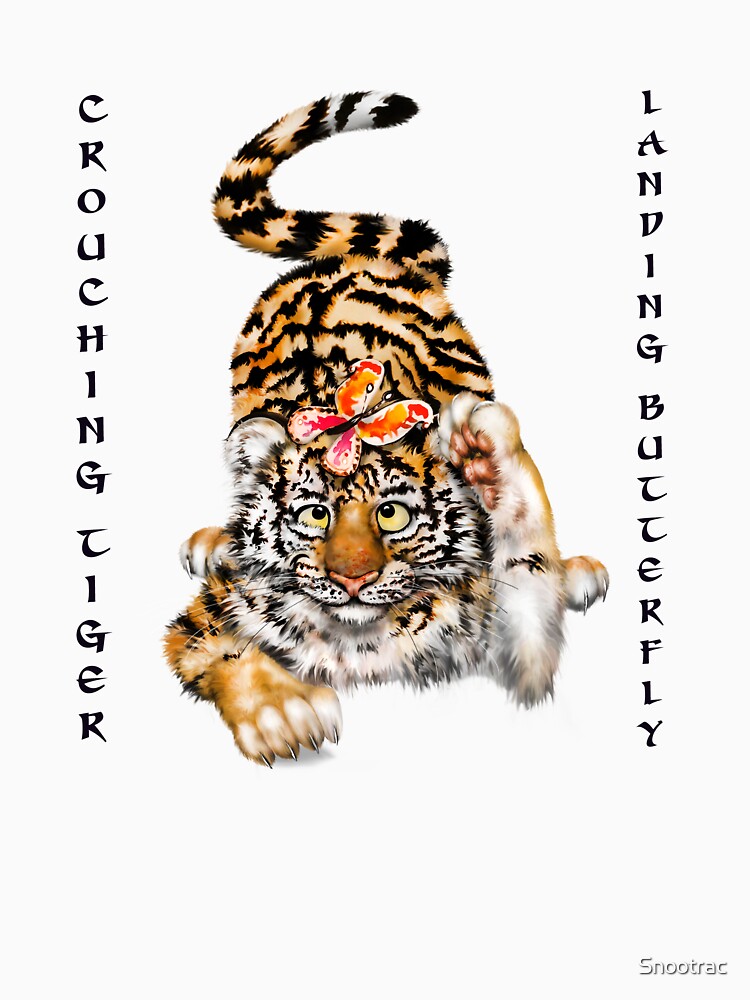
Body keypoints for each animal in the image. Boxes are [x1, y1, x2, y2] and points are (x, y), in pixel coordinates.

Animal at [163, 91, 609, 767]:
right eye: (314, 514)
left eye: (392, 514)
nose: (352, 579)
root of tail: (359, 259)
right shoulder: (203, 621)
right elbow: (227, 650)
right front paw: (284, 714)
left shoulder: (499, 629)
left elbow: (528, 581)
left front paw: (487, 455)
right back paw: (213, 541)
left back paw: (578, 568)